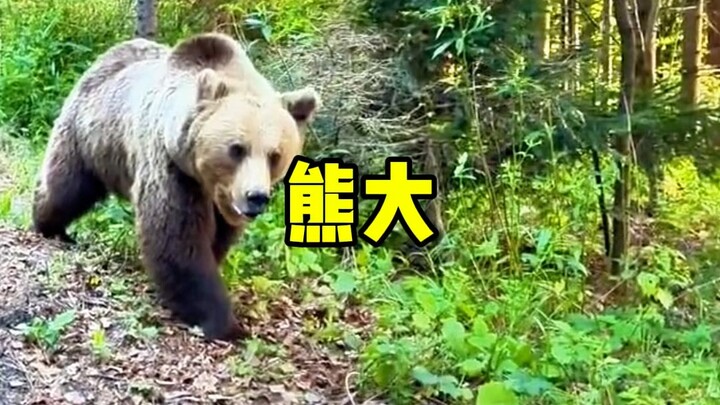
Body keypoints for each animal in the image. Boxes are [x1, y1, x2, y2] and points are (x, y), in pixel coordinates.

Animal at [30, 32, 321, 341]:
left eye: (275, 155)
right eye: (237, 148)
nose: (256, 197)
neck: (208, 181)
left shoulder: (220, 201)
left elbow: (217, 238)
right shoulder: (172, 168)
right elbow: (176, 240)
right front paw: (222, 321)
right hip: (89, 134)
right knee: (66, 184)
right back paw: (50, 226)